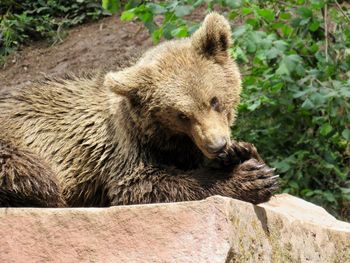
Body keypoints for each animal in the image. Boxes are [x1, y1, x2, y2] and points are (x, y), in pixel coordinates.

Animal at [0, 12, 278, 208]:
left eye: (214, 100)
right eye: (182, 115)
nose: (217, 145)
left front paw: (240, 153)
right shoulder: (123, 148)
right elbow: (143, 185)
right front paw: (248, 179)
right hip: (13, 148)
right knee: (36, 176)